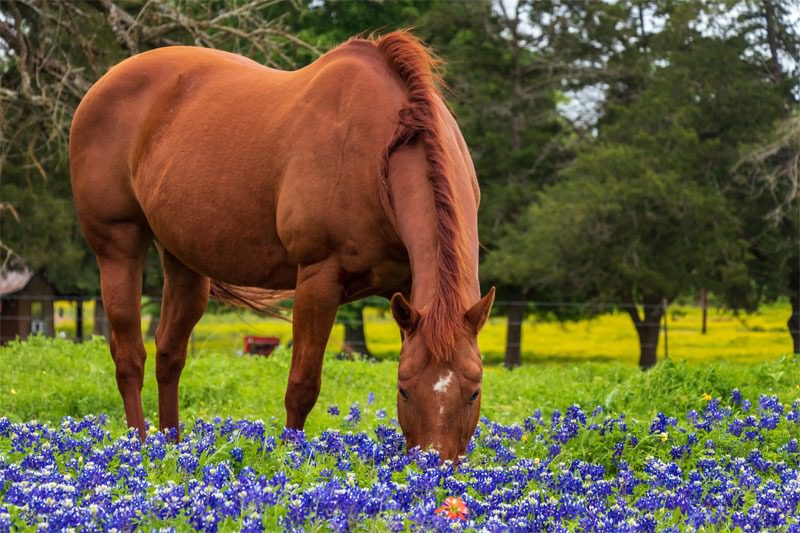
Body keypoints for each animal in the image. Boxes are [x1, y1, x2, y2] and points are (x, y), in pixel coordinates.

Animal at [70, 30, 494, 461]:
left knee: (169, 354)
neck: (378, 153)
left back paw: (171, 447)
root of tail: (103, 84)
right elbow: (302, 386)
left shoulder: (409, 290)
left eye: (474, 392)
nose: (434, 465)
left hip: (183, 260)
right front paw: (292, 458)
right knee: (129, 357)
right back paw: (139, 448)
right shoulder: (318, 280)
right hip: (118, 247)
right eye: (404, 390)